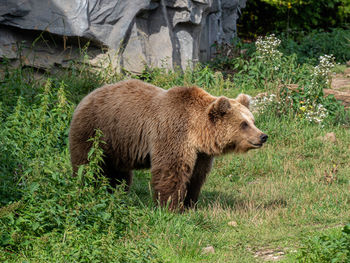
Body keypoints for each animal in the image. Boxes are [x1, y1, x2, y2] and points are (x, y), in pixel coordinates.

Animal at [69, 79, 268, 211]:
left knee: (119, 174)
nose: (263, 136)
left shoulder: (200, 153)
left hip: (119, 145)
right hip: (96, 133)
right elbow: (171, 170)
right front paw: (169, 207)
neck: (198, 132)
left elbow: (196, 175)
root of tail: (86, 96)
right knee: (89, 166)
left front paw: (189, 204)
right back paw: (90, 189)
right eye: (244, 124)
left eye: (253, 120)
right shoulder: (173, 133)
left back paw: (117, 193)